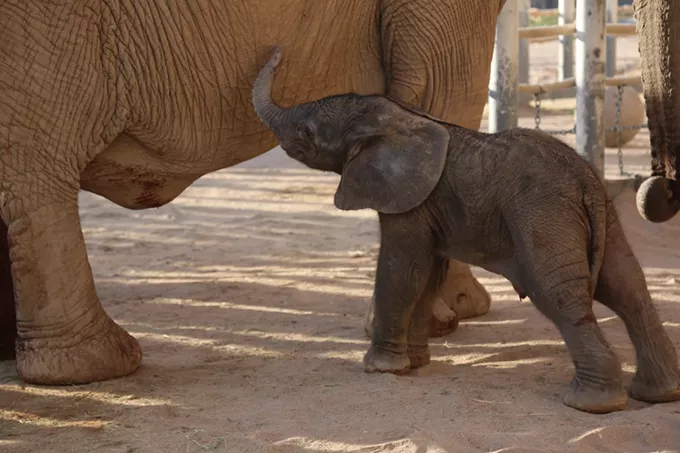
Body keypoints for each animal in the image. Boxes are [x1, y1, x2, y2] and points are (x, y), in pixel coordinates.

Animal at [0, 0, 500, 384]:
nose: (277, 51)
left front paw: (461, 312)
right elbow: (441, 94)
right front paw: (446, 322)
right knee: (37, 164)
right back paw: (98, 367)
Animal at [254, 46, 680, 414]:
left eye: (308, 133)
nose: (278, 50)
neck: (399, 118)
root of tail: (585, 181)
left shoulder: (409, 199)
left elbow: (401, 269)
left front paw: (380, 369)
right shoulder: (429, 206)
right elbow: (427, 273)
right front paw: (416, 363)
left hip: (544, 215)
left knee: (560, 294)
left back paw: (590, 404)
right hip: (602, 214)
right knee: (627, 286)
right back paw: (659, 394)